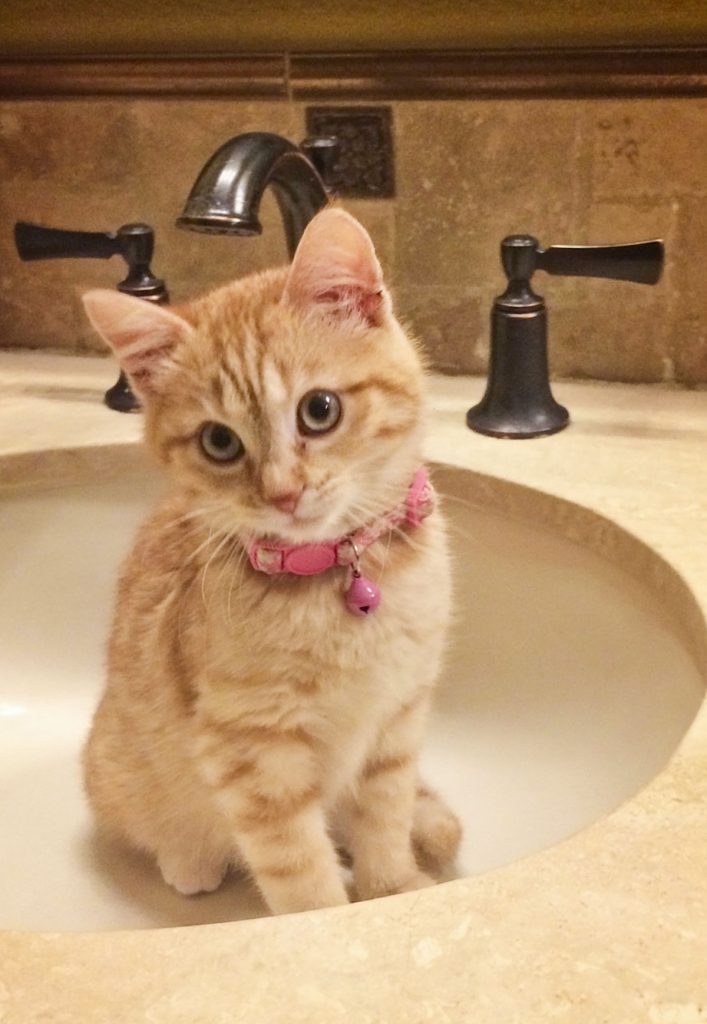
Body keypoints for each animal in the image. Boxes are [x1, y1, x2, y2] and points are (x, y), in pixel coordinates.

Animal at [81, 205, 456, 913]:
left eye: (320, 409)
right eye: (219, 442)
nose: (283, 494)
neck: (336, 576)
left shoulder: (398, 717)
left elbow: (384, 816)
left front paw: (391, 887)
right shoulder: (252, 752)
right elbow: (298, 871)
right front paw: (329, 918)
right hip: (120, 769)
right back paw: (189, 858)